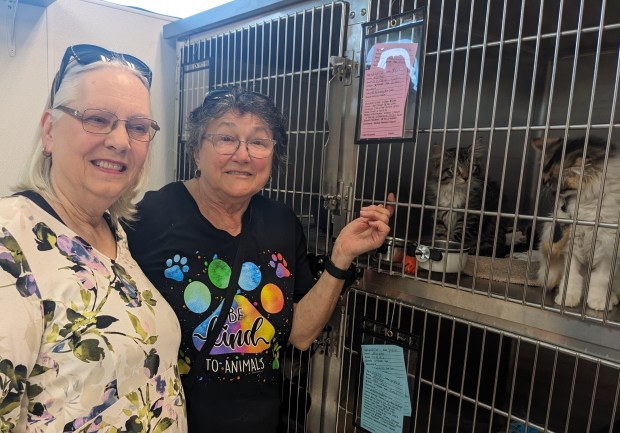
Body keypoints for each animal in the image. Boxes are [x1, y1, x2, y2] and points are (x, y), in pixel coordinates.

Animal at [532, 137, 620, 308]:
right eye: (547, 184)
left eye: (559, 188)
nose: (560, 205)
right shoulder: (571, 243)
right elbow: (571, 275)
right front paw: (567, 297)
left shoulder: (609, 244)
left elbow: (601, 278)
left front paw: (598, 301)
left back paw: (611, 298)